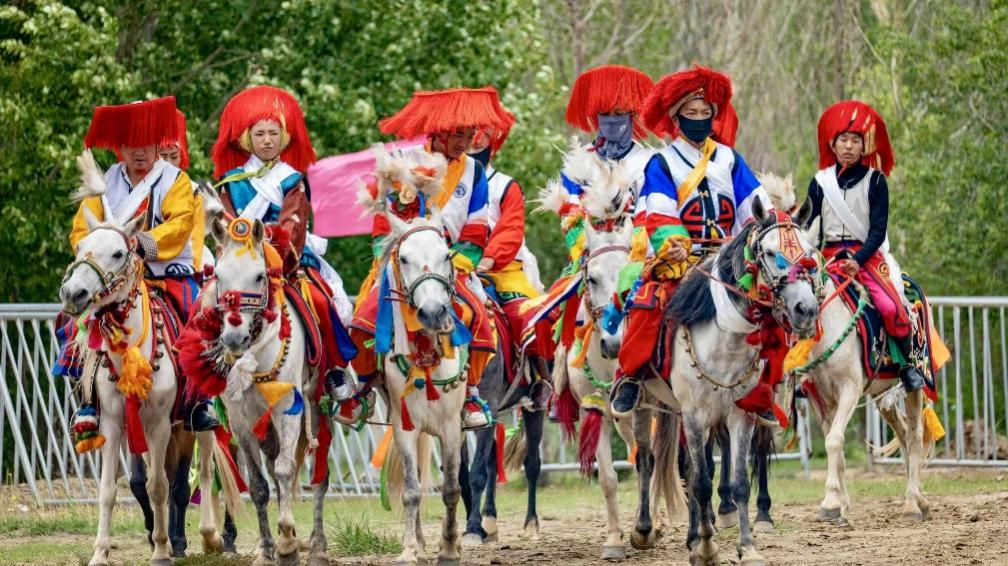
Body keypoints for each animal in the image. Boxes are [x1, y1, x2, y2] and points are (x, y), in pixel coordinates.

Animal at [61, 151, 232, 566]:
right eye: (81, 248)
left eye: (119, 252)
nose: (73, 293)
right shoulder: (113, 421)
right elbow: (112, 490)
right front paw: (101, 552)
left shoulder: (157, 422)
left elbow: (158, 485)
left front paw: (161, 549)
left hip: (198, 418)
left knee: (204, 471)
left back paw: (209, 537)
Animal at [651, 199, 821, 566]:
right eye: (770, 253)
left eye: (809, 253)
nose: (805, 309)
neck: (724, 339)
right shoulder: (694, 416)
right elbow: (700, 482)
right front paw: (705, 548)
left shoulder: (742, 413)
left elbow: (742, 479)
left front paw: (748, 546)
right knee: (656, 462)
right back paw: (651, 531)